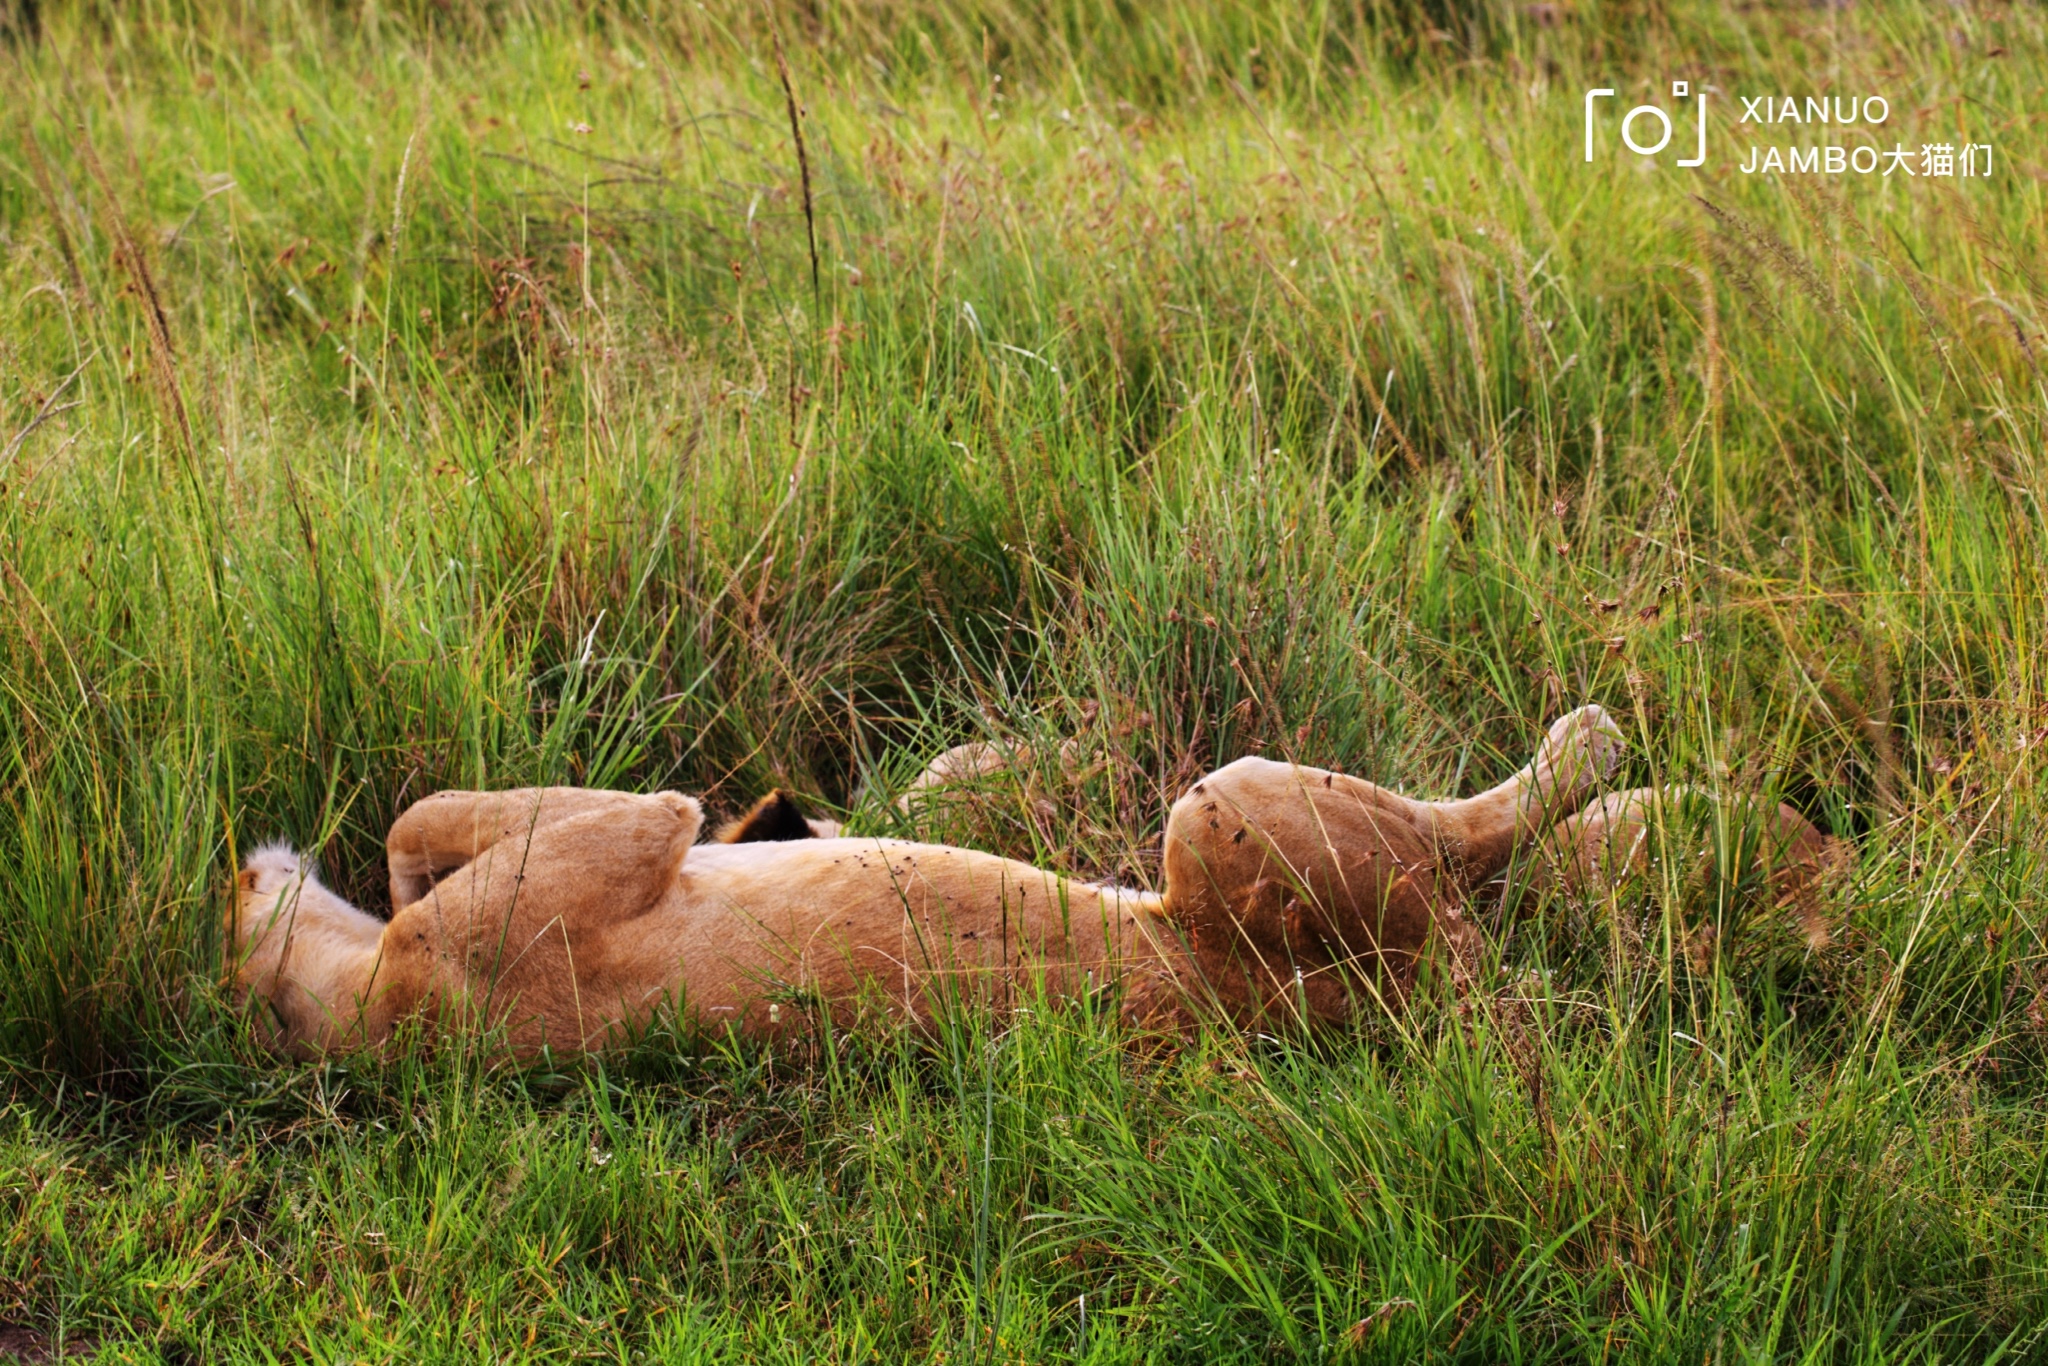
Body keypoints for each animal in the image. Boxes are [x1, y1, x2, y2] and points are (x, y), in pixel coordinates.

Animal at [232, 704, 1622, 1056]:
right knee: (1471, 839)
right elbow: (432, 809)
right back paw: (1594, 740)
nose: (240, 864)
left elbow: (408, 829)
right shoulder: (633, 835)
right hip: (1220, 806)